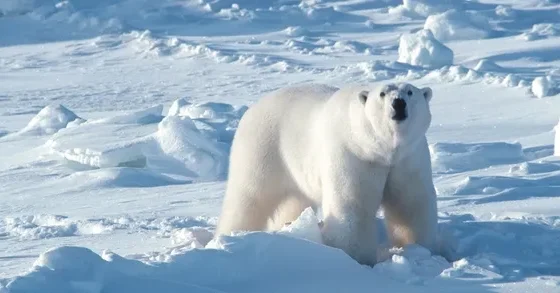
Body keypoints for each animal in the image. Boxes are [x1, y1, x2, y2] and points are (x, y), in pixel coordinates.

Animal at [214, 81, 438, 264]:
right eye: (382, 94)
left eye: (410, 91)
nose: (398, 103)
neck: (380, 150)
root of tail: (253, 108)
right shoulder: (353, 156)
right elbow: (352, 205)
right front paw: (356, 258)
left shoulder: (408, 159)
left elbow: (410, 203)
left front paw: (418, 249)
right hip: (264, 148)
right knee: (249, 196)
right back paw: (233, 234)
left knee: (293, 201)